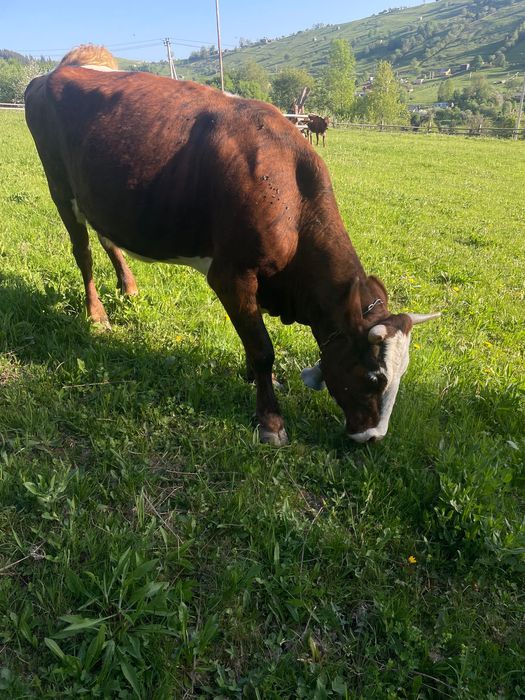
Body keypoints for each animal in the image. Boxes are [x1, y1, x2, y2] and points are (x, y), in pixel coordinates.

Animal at [24, 45, 440, 446]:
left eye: (401, 376)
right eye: (374, 377)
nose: (372, 438)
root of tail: (58, 69)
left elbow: (252, 340)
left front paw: (257, 382)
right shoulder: (231, 273)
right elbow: (262, 348)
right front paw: (271, 420)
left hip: (101, 197)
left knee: (108, 239)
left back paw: (129, 287)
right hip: (59, 187)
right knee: (83, 253)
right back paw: (97, 316)